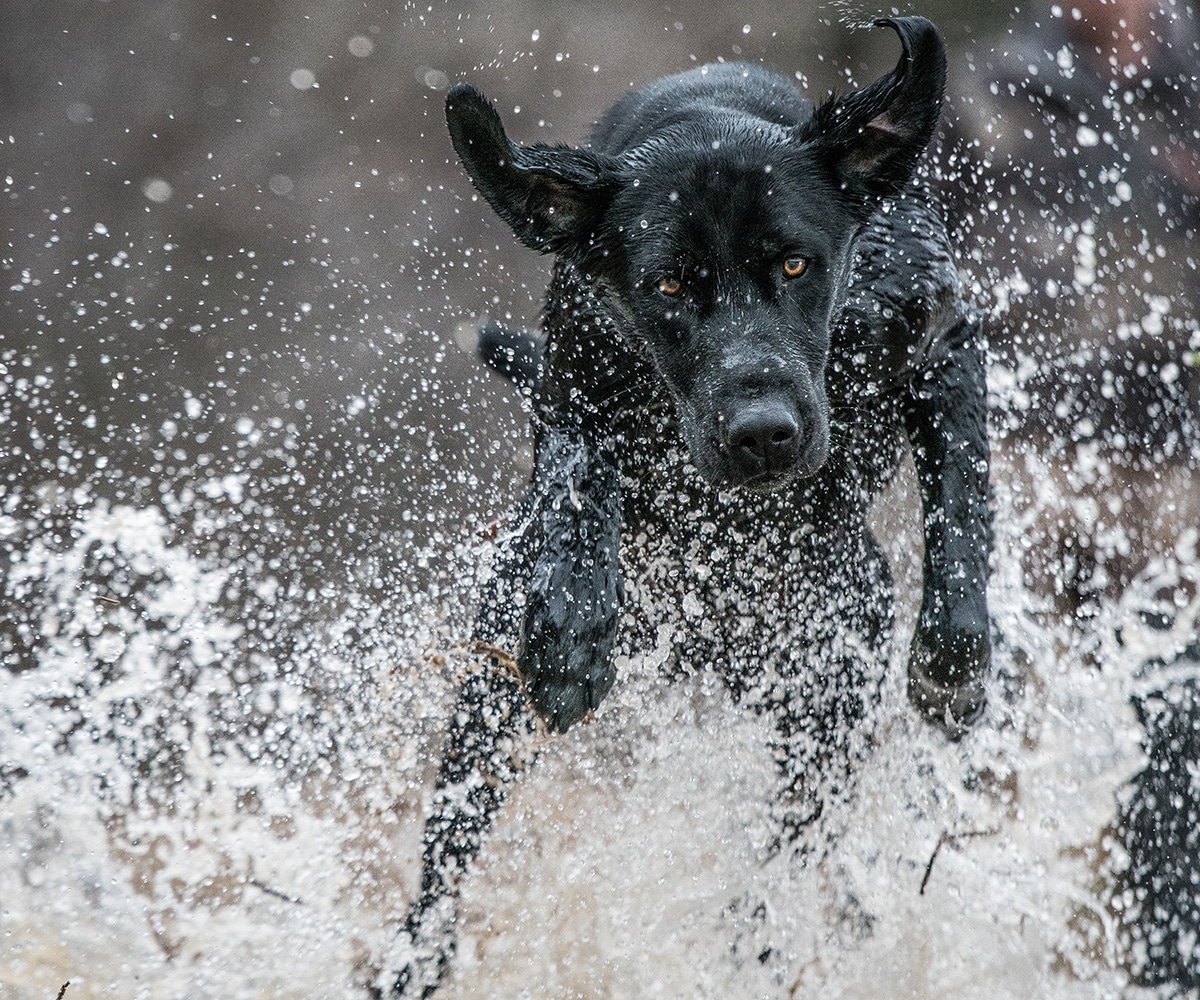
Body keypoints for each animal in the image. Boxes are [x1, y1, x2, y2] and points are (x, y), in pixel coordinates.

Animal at [381, 13, 984, 989]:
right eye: (667, 285)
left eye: (797, 262)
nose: (763, 432)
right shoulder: (571, 385)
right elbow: (580, 479)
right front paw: (572, 635)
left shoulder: (942, 343)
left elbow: (964, 512)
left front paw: (952, 669)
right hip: (486, 709)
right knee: (448, 857)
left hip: (829, 698)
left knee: (788, 856)